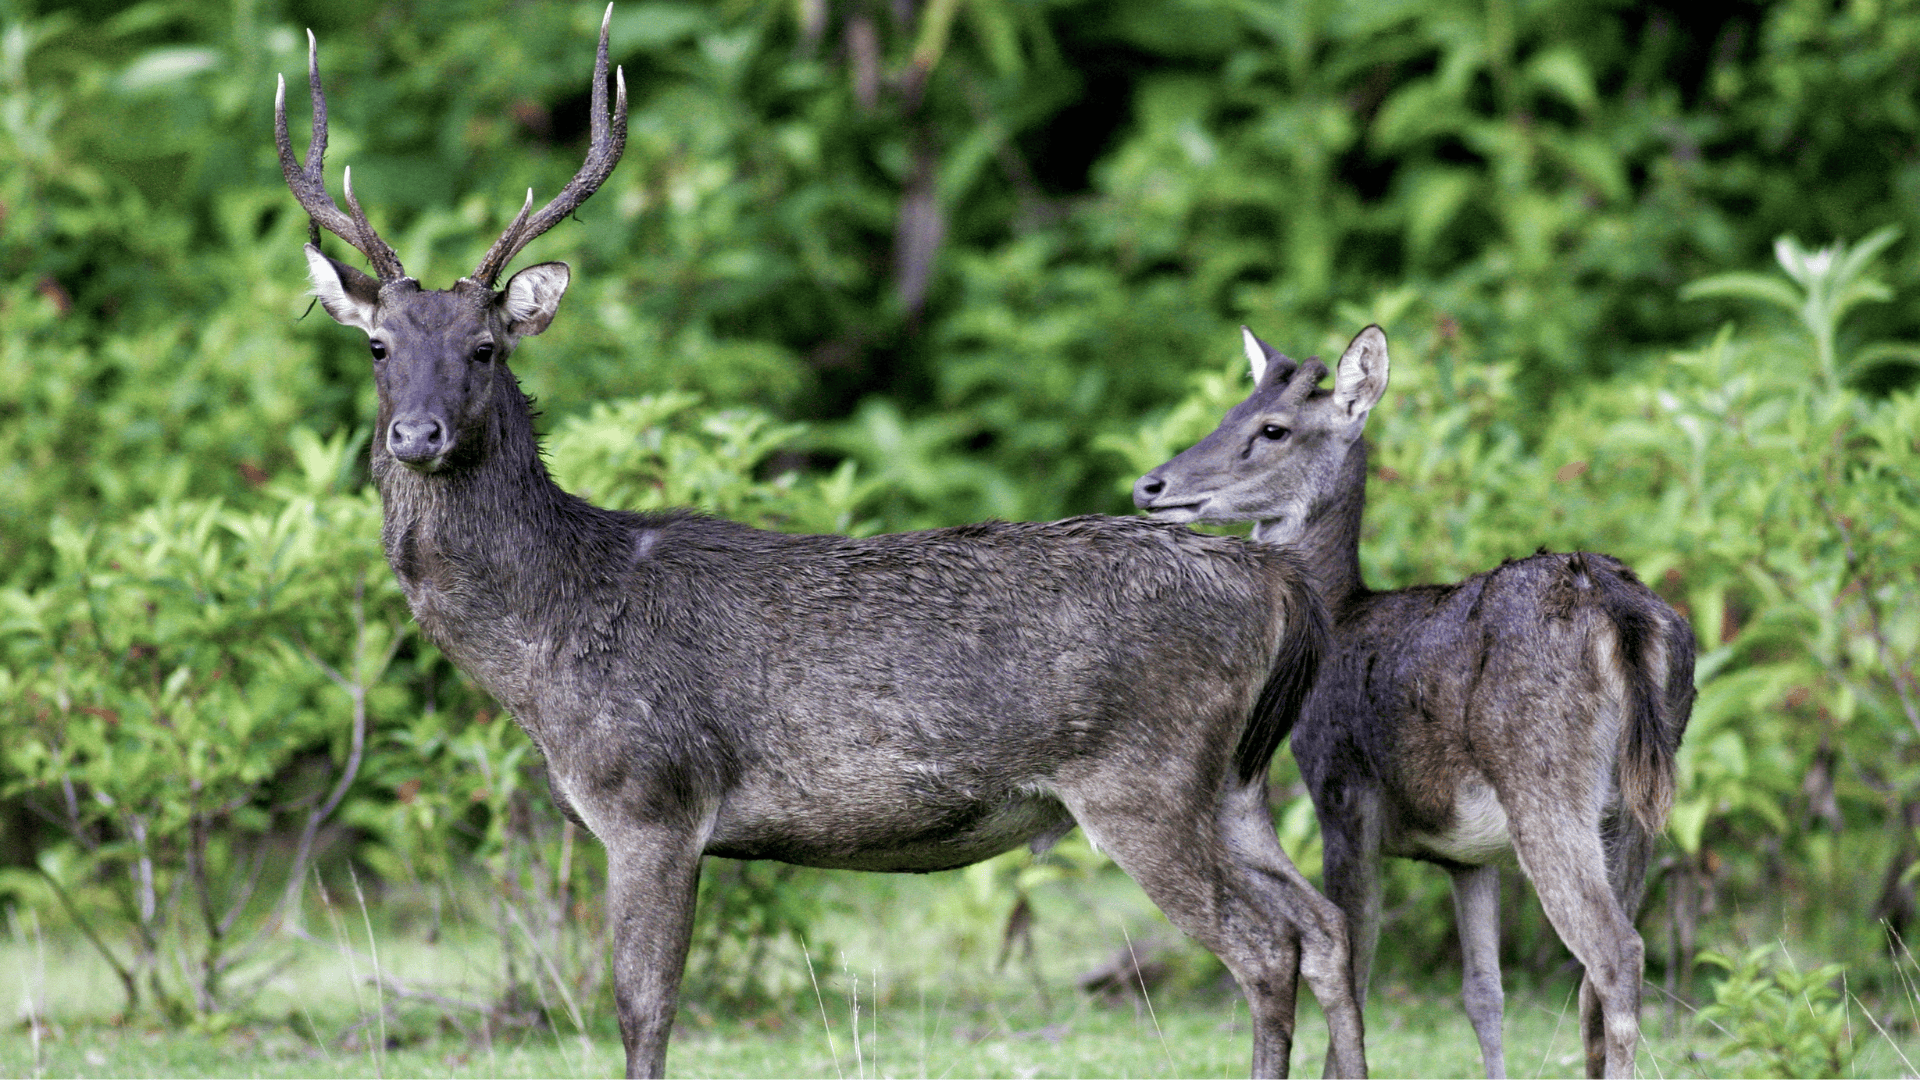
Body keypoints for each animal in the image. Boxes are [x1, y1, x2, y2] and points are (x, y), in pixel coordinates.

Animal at [273, 10, 1368, 1078]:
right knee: (1326, 926)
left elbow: (644, 1013)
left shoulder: (654, 798)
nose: (417, 435)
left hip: (1144, 774)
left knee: (1266, 948)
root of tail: (1277, 581)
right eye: (378, 345)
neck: (541, 646)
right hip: (1236, 781)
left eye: (485, 346)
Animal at [1134, 325, 1696, 1079]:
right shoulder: (1468, 857)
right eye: (1228, 412)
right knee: (1592, 985)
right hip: (1638, 806)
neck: (1342, 615)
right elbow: (1484, 995)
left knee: (1615, 952)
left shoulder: (1344, 800)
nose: (1151, 484)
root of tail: (1618, 610)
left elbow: (1357, 970)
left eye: (1273, 427)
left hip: (1544, 780)